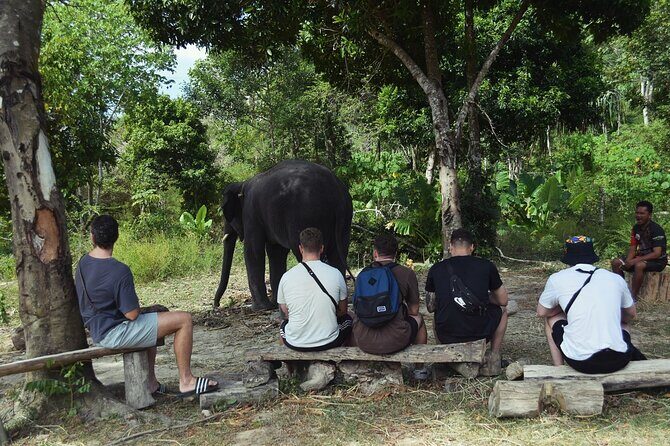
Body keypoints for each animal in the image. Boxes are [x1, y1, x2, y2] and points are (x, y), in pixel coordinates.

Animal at [213, 160, 353, 310]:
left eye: (226, 214)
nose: (217, 305)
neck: (242, 184)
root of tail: (335, 193)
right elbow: (276, 252)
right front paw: (276, 303)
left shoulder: (251, 214)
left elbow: (253, 251)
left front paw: (261, 308)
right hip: (345, 218)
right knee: (338, 254)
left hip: (306, 216)